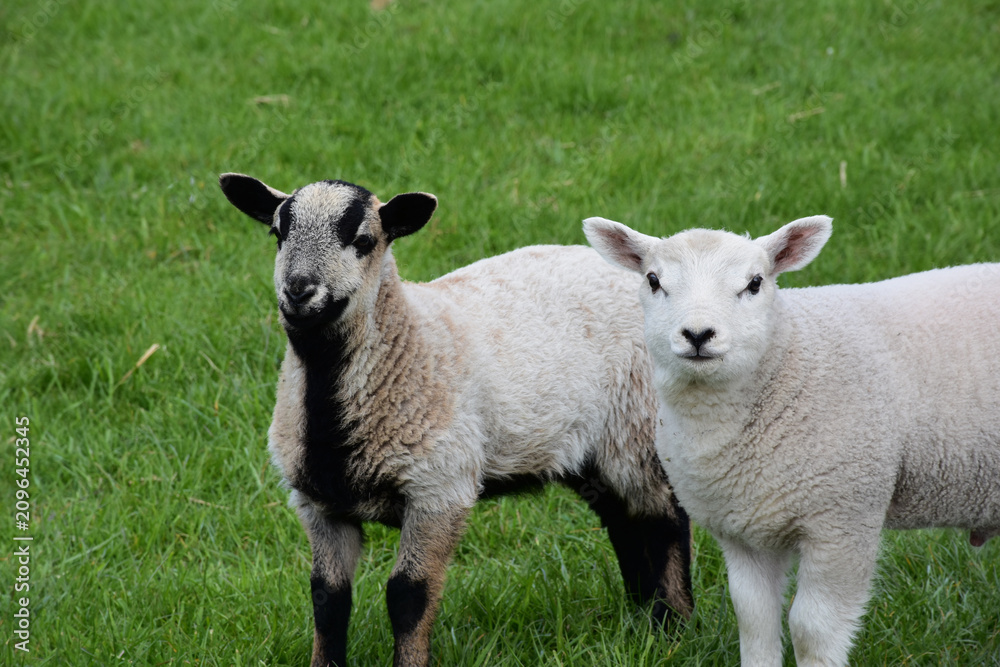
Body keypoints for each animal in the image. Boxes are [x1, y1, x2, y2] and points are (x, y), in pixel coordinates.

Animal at [218, 173, 694, 667]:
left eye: (364, 241)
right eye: (278, 234)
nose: (299, 289)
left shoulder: (439, 490)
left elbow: (409, 594)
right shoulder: (318, 503)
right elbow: (327, 597)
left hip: (637, 424)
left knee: (664, 519)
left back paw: (673, 625)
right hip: (595, 450)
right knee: (624, 520)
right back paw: (641, 615)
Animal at [584, 214, 1000, 667]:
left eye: (755, 283)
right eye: (654, 280)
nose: (697, 334)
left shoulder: (843, 520)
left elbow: (811, 629)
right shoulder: (742, 529)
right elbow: (753, 619)